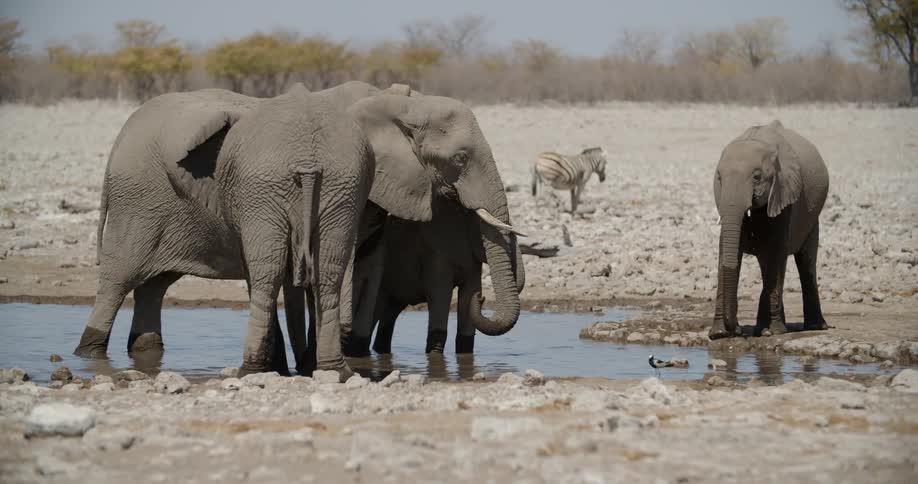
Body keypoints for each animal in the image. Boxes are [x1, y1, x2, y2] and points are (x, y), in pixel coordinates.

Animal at [344, 198, 525, 357]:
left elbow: (468, 295)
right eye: (485, 236)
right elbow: (440, 295)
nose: (482, 298)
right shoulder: (435, 254)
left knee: (389, 315)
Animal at [709, 120, 830, 340]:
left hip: (811, 219)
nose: (737, 330)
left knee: (805, 262)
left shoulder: (785, 192)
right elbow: (727, 253)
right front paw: (719, 334)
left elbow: (777, 249)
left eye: (757, 177)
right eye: (719, 178)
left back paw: (813, 326)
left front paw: (773, 332)